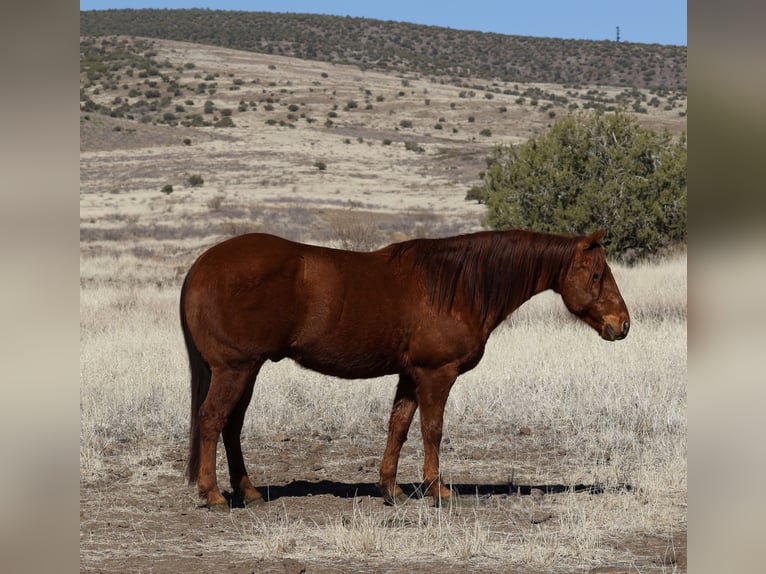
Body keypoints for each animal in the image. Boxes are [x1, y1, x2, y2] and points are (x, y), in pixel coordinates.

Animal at [180, 228, 632, 508]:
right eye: (596, 274)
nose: (622, 325)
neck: (458, 285)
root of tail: (201, 266)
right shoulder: (436, 374)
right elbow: (432, 431)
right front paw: (438, 490)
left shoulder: (410, 376)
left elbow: (398, 427)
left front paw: (391, 489)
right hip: (235, 368)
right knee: (212, 419)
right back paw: (214, 495)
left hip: (246, 370)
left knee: (231, 426)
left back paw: (249, 491)